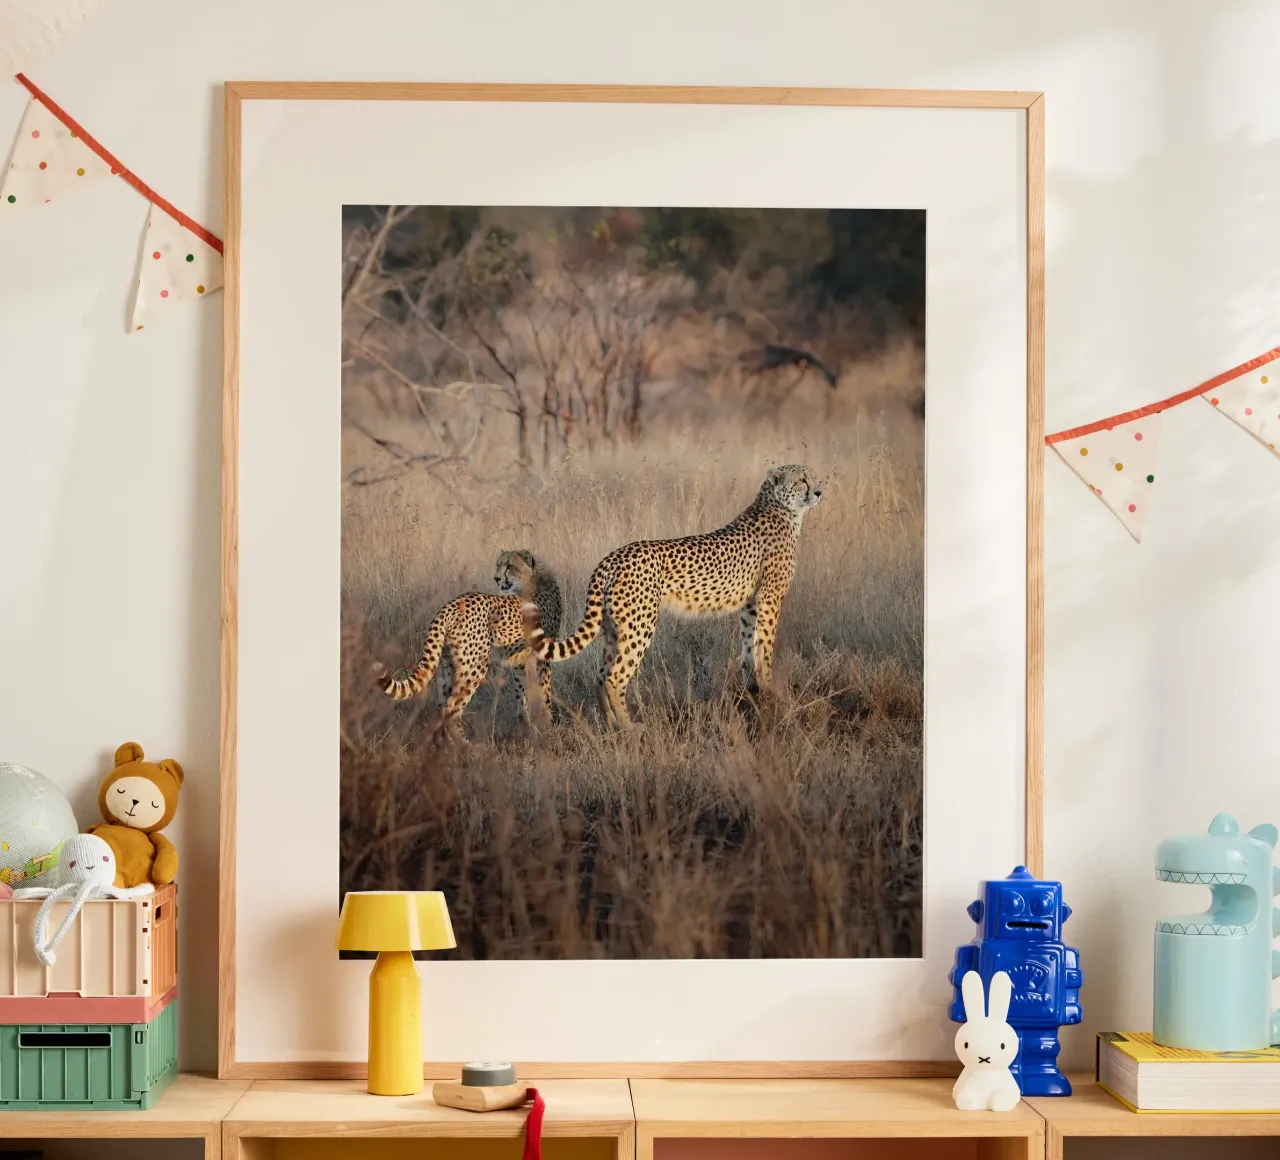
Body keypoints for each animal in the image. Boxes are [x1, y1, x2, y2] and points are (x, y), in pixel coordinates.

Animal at [378, 549, 562, 741]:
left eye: (510, 566)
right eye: (499, 565)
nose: (496, 578)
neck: (532, 580)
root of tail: (450, 605)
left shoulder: (520, 659)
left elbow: (522, 691)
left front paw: (528, 725)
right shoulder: (542, 655)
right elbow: (545, 690)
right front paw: (548, 725)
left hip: (447, 664)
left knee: (442, 706)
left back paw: (448, 744)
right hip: (474, 665)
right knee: (452, 709)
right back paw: (467, 746)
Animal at [511, 465, 823, 729]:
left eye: (814, 477)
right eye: (802, 480)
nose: (819, 491)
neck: (781, 507)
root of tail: (612, 557)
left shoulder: (750, 603)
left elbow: (749, 647)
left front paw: (753, 691)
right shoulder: (770, 597)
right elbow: (765, 647)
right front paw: (772, 693)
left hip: (614, 628)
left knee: (600, 676)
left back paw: (612, 726)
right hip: (640, 625)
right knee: (614, 677)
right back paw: (630, 728)